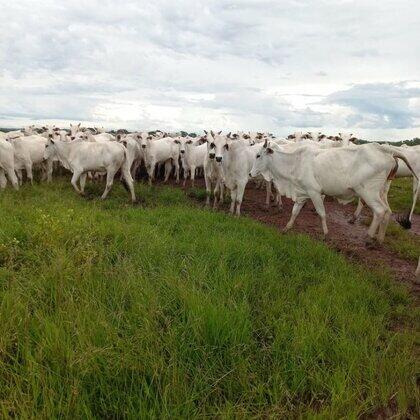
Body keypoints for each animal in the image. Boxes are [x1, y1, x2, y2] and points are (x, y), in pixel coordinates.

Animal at [249, 141, 416, 243]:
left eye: (258, 155)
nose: (250, 173)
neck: (295, 162)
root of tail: (385, 150)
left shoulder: (314, 192)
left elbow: (322, 213)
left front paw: (325, 234)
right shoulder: (302, 193)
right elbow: (294, 212)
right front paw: (286, 228)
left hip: (368, 192)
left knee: (380, 211)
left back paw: (369, 237)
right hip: (380, 191)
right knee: (387, 211)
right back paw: (379, 239)